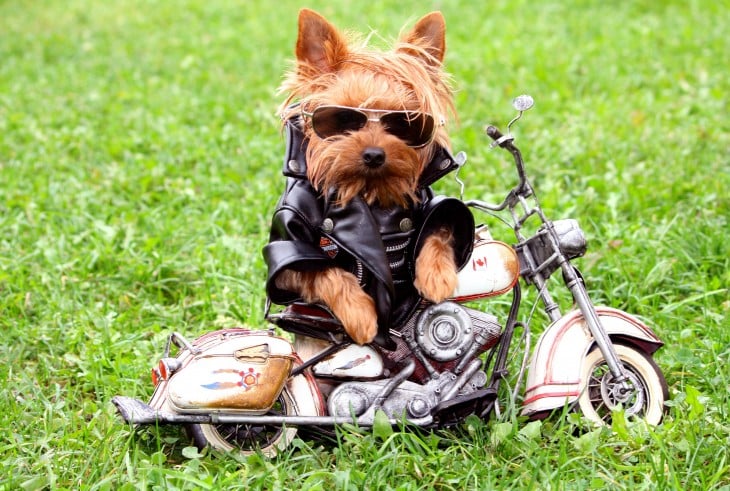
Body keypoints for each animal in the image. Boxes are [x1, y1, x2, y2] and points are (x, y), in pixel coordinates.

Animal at [262, 7, 472, 346]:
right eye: (342, 119)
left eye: (405, 124)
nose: (374, 154)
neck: (368, 192)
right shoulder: (288, 255)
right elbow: (327, 271)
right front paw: (359, 313)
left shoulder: (431, 205)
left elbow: (439, 228)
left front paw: (437, 275)